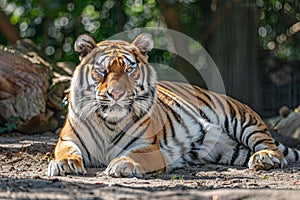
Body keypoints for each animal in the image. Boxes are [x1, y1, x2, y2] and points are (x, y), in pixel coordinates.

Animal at [48, 33, 298, 178]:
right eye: (102, 71)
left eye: (129, 70)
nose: (116, 93)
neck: (108, 122)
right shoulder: (67, 139)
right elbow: (66, 151)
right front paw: (64, 164)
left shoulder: (149, 147)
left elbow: (134, 156)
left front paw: (122, 165)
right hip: (230, 151)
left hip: (240, 119)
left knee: (271, 147)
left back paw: (265, 159)